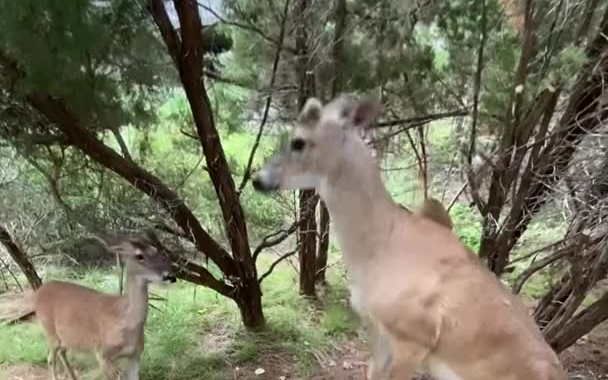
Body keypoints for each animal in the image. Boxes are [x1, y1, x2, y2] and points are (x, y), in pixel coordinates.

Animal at [0, 232, 177, 380]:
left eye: (158, 252)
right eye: (139, 256)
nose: (170, 275)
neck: (124, 320)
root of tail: (39, 291)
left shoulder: (136, 355)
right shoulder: (102, 354)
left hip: (65, 336)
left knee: (62, 353)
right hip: (49, 330)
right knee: (51, 358)